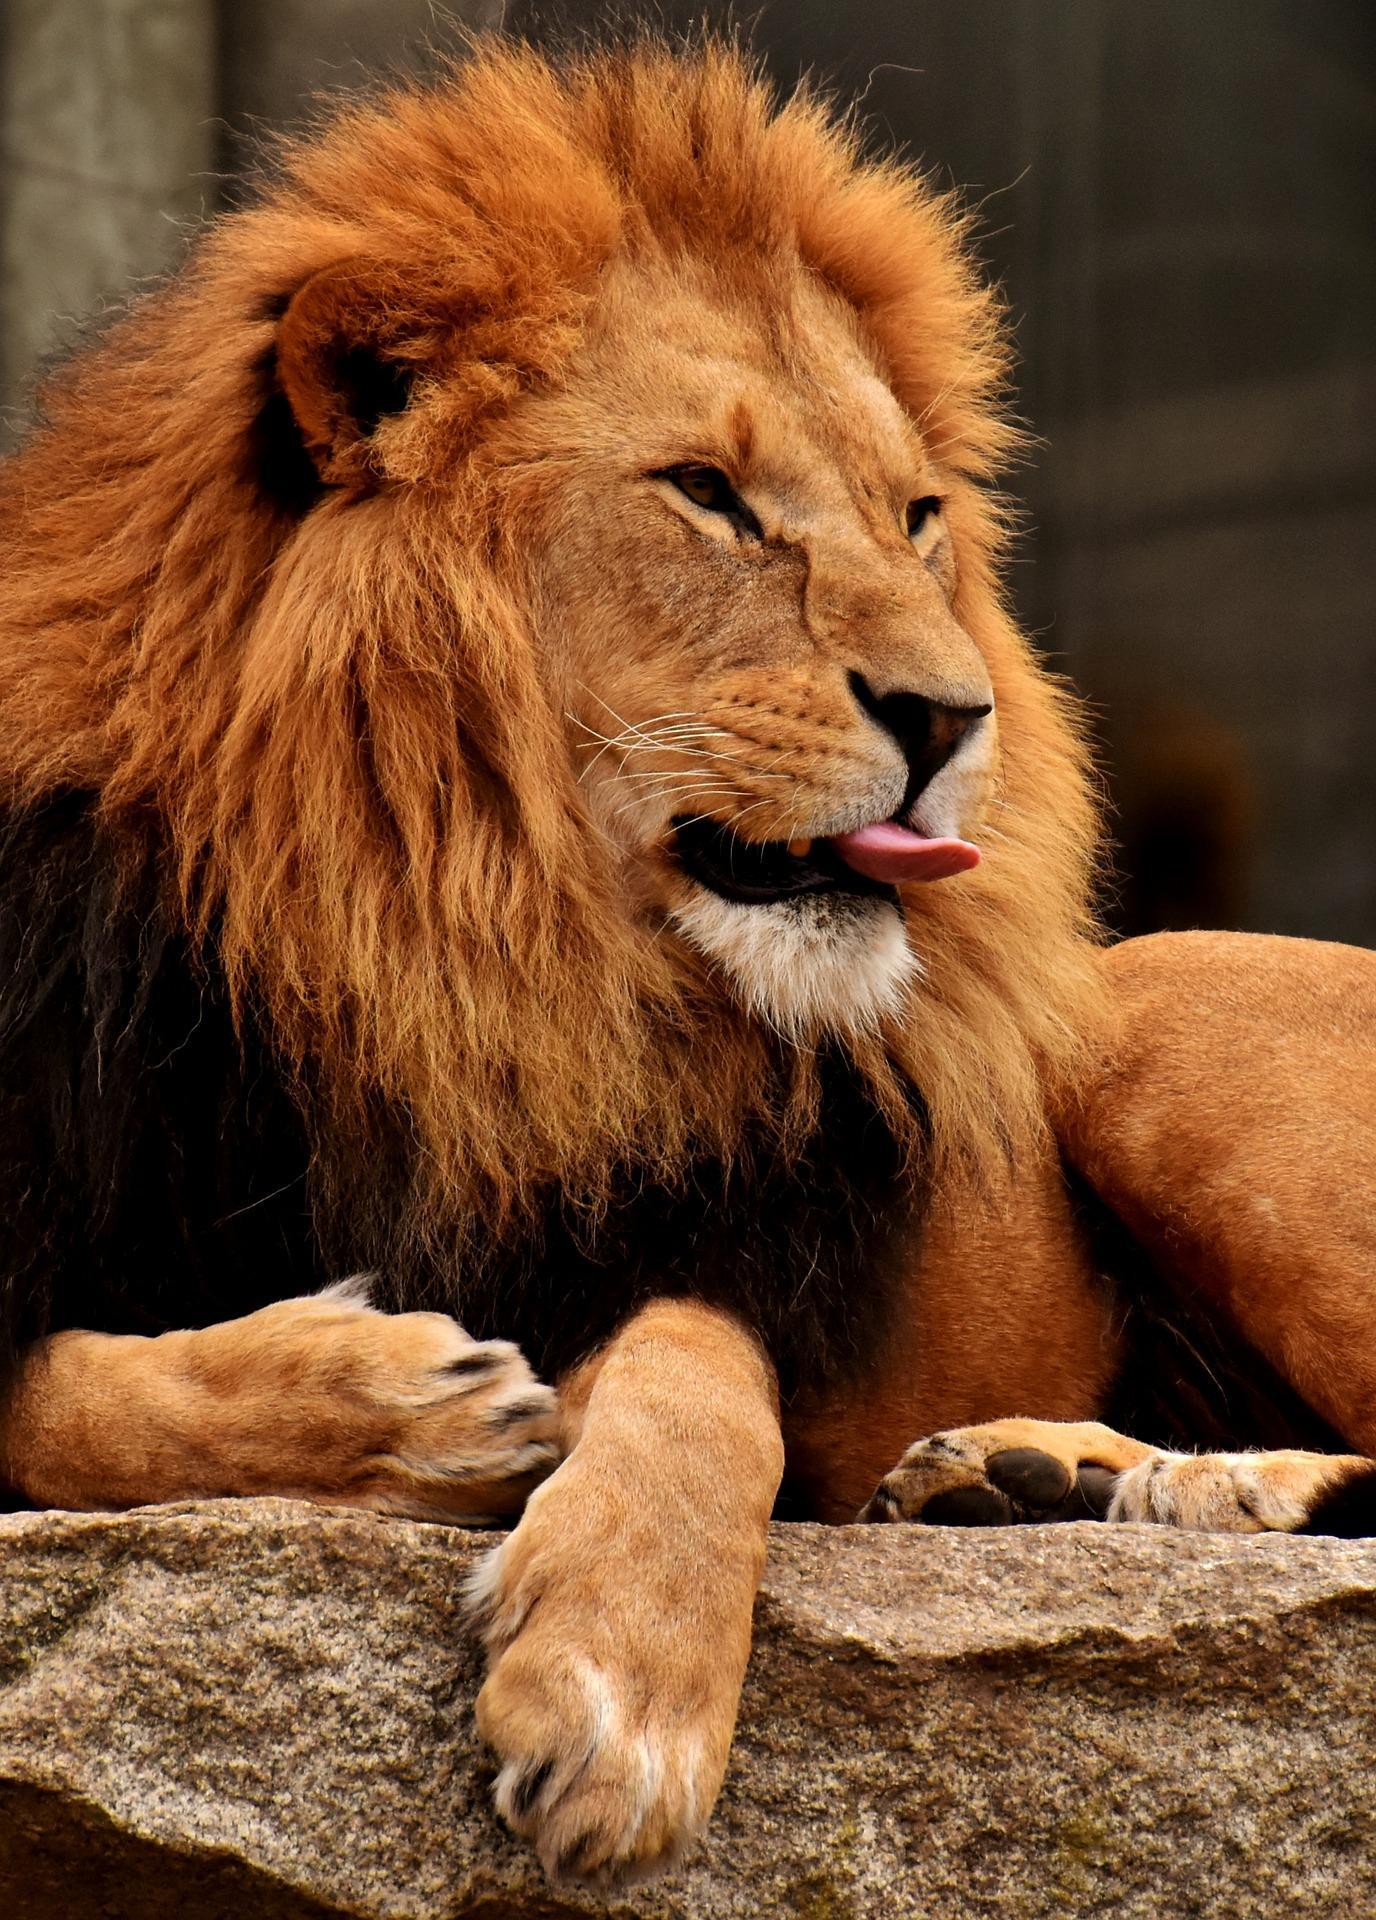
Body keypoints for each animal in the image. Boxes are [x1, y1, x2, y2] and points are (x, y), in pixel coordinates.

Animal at [1, 37, 1373, 1888]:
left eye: (917, 518)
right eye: (710, 496)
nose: (955, 718)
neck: (448, 947)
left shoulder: (729, 1224)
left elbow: (701, 1371)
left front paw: (616, 1682)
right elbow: (71, 1402)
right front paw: (395, 1400)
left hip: (1161, 1018)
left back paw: (1206, 1492)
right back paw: (1044, 1479)